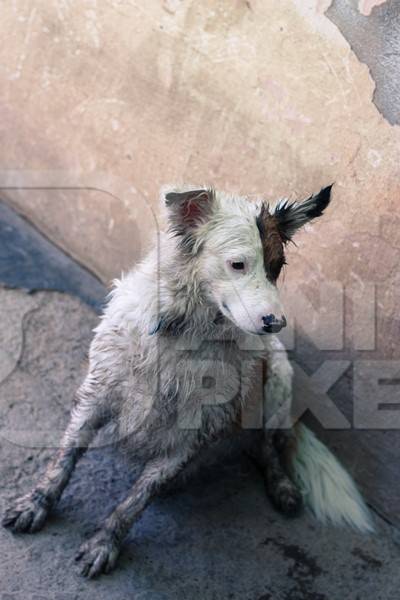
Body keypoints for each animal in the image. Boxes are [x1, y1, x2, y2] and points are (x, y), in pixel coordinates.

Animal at [2, 184, 372, 576]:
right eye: (238, 264)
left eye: (277, 267)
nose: (276, 323)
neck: (187, 333)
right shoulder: (97, 396)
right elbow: (65, 459)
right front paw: (36, 503)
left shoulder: (189, 438)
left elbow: (135, 501)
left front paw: (105, 542)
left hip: (277, 381)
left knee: (268, 447)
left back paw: (282, 487)